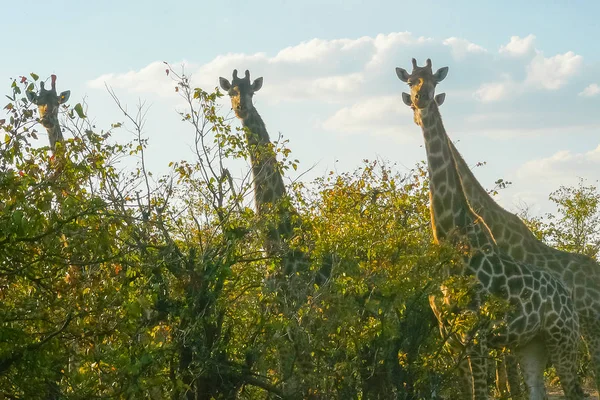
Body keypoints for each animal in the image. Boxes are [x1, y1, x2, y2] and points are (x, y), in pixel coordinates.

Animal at [396, 57, 584, 400]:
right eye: (410, 81)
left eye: (434, 81)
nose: (421, 100)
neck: (450, 236)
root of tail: (567, 295)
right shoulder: (451, 336)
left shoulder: (477, 334)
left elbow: (481, 393)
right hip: (532, 344)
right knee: (536, 390)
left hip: (563, 338)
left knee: (573, 390)